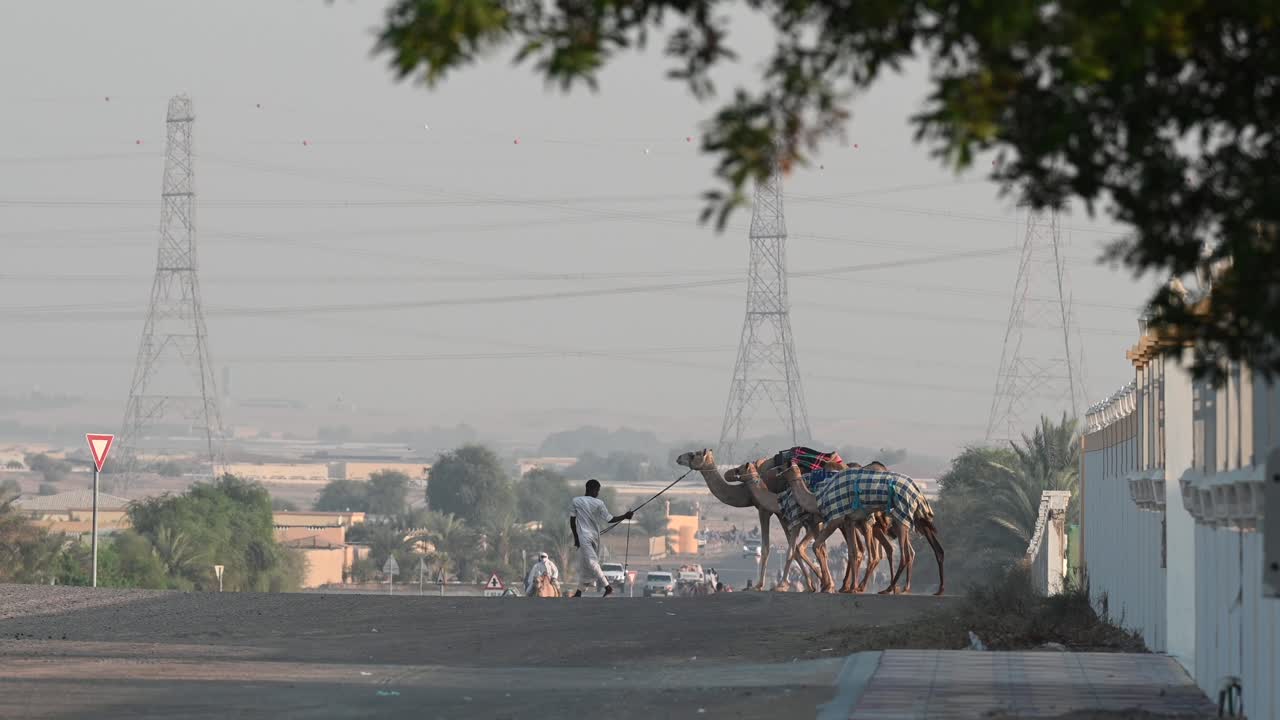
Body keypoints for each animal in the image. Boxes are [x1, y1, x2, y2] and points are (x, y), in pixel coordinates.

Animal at [675, 449, 833, 592]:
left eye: (693, 454)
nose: (678, 458)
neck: (747, 491)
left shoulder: (767, 510)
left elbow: (769, 548)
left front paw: (764, 585)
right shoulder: (783, 513)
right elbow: (792, 546)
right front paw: (810, 585)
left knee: (817, 545)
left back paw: (827, 584)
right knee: (819, 545)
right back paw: (826, 583)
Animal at [772, 462, 945, 595]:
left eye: (782, 466)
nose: (775, 472)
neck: (817, 497)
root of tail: (917, 490)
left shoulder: (834, 519)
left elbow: (814, 547)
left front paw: (829, 586)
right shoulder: (848, 521)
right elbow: (853, 552)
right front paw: (845, 587)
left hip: (899, 517)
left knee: (901, 554)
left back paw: (889, 588)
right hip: (904, 518)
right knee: (910, 550)